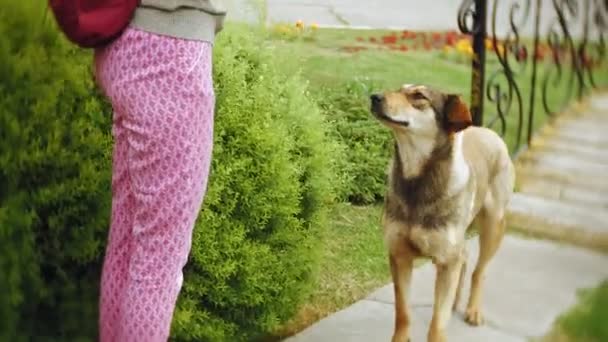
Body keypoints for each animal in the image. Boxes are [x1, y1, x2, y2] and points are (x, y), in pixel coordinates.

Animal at [370, 83, 512, 342]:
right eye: (399, 88)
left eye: (418, 96)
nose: (374, 97)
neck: (418, 182)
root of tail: (489, 131)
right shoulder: (399, 255)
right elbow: (403, 311)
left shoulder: (446, 263)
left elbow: (437, 321)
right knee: (465, 255)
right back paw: (456, 301)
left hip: (493, 225)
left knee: (479, 270)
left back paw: (473, 310)